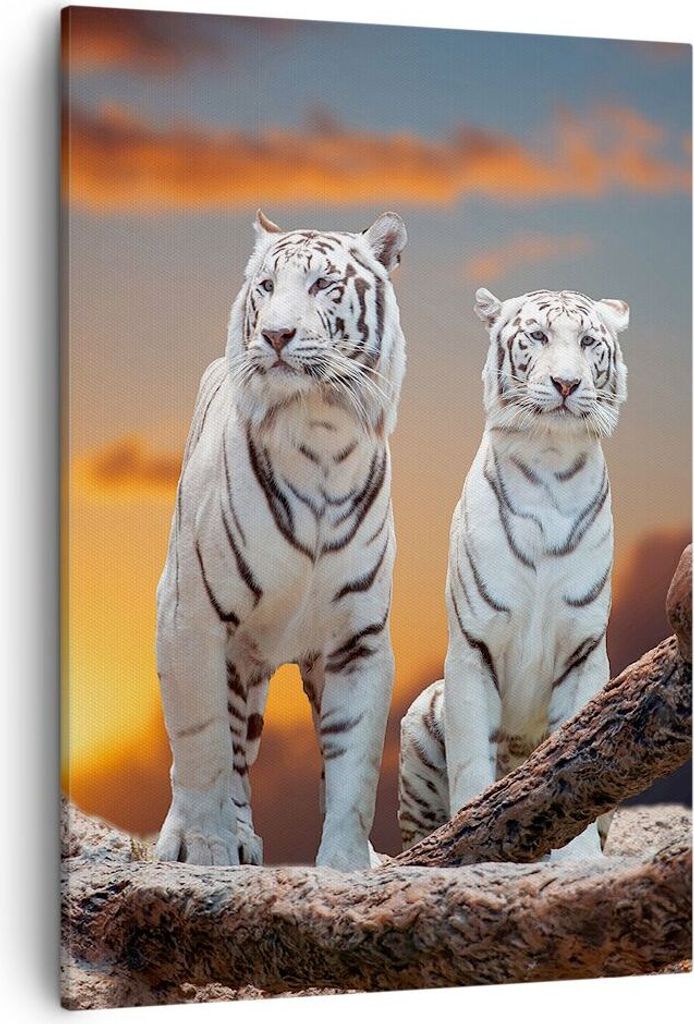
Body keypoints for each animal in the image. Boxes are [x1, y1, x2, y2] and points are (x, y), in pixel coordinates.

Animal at [154, 209, 408, 871]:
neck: (320, 432)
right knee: (226, 752)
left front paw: (348, 865)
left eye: (324, 285)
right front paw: (205, 848)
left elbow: (354, 766)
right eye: (266, 287)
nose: (275, 335)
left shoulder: (359, 640)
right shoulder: (189, 615)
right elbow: (202, 748)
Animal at [398, 287, 629, 860]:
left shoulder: (584, 650)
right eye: (538, 336)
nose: (566, 383)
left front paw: (578, 859)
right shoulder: (472, 646)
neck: (550, 462)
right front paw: (469, 836)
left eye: (588, 342)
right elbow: (470, 762)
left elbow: (578, 755)